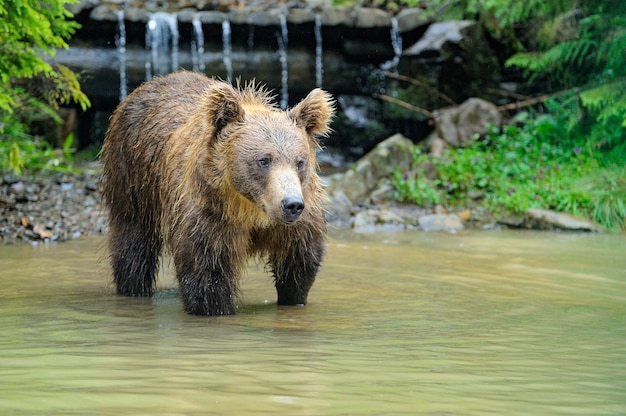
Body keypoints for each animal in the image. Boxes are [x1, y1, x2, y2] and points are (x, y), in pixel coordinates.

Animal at [100, 70, 334, 316]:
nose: (291, 204)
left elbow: (298, 266)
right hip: (133, 178)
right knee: (133, 242)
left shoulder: (298, 224)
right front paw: (215, 306)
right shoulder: (210, 214)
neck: (250, 209)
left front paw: (292, 297)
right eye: (263, 160)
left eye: (299, 162)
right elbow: (208, 274)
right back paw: (134, 287)